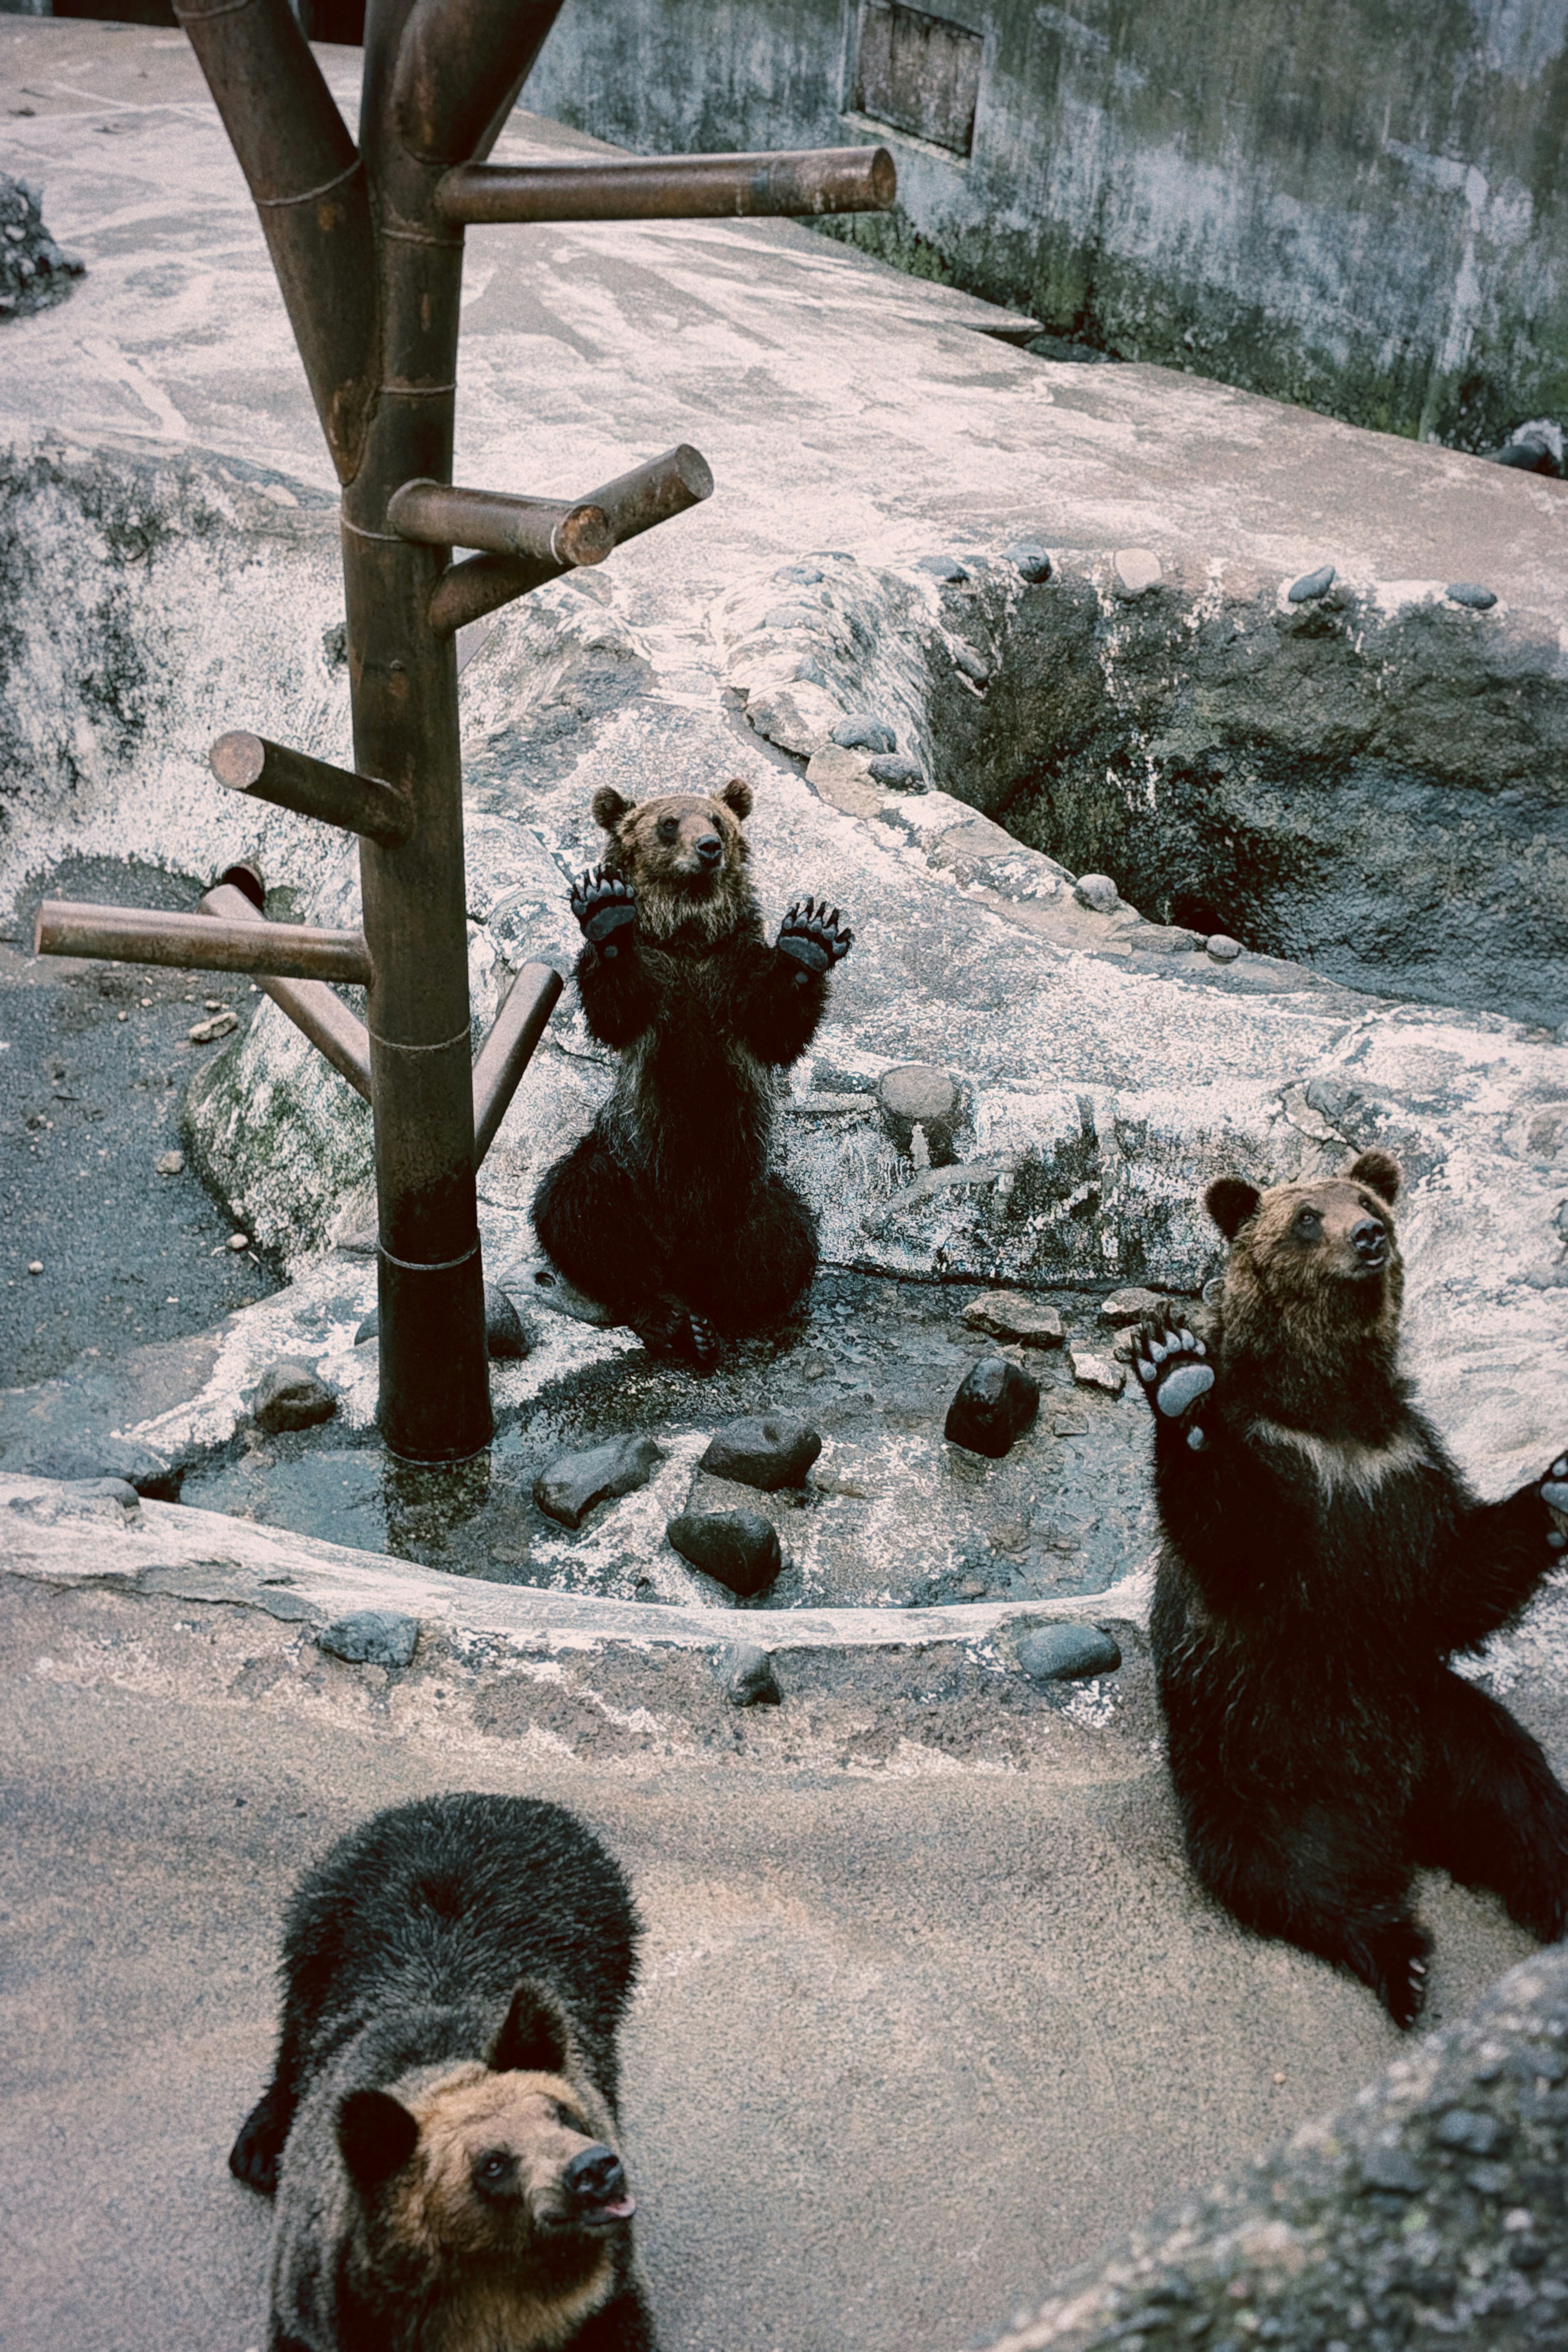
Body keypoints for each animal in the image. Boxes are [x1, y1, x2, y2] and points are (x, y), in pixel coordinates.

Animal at [228, 1787, 658, 2342]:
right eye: (493, 2163)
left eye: (565, 2115)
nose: (594, 2169)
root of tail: (475, 1796)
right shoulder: (319, 2300)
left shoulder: (609, 2300)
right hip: (323, 1924)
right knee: (296, 2026)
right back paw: (260, 2145)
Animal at [536, 776, 860, 1364]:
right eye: (669, 824)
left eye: (718, 823)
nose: (709, 848)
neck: (688, 936)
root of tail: (682, 1257)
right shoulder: (659, 997)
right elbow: (616, 1007)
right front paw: (606, 914)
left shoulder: (733, 976)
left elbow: (777, 1027)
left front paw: (810, 940)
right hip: (628, 1164)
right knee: (579, 1210)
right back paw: (666, 1317)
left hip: (746, 1189)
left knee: (784, 1240)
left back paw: (724, 1316)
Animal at [1128, 1147, 1568, 2032]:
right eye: (1307, 1216)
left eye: (1369, 1201)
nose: (1368, 1238)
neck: (1334, 1414)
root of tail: (1396, 1811)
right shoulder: (1289, 1494)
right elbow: (1233, 1537)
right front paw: (1179, 1376)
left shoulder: (1403, 1473)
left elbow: (1454, 1579)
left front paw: (1561, 1488)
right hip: (1256, 1761)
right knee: (1291, 1877)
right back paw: (1401, 1960)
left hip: (1442, 1730)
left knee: (1523, 1804)